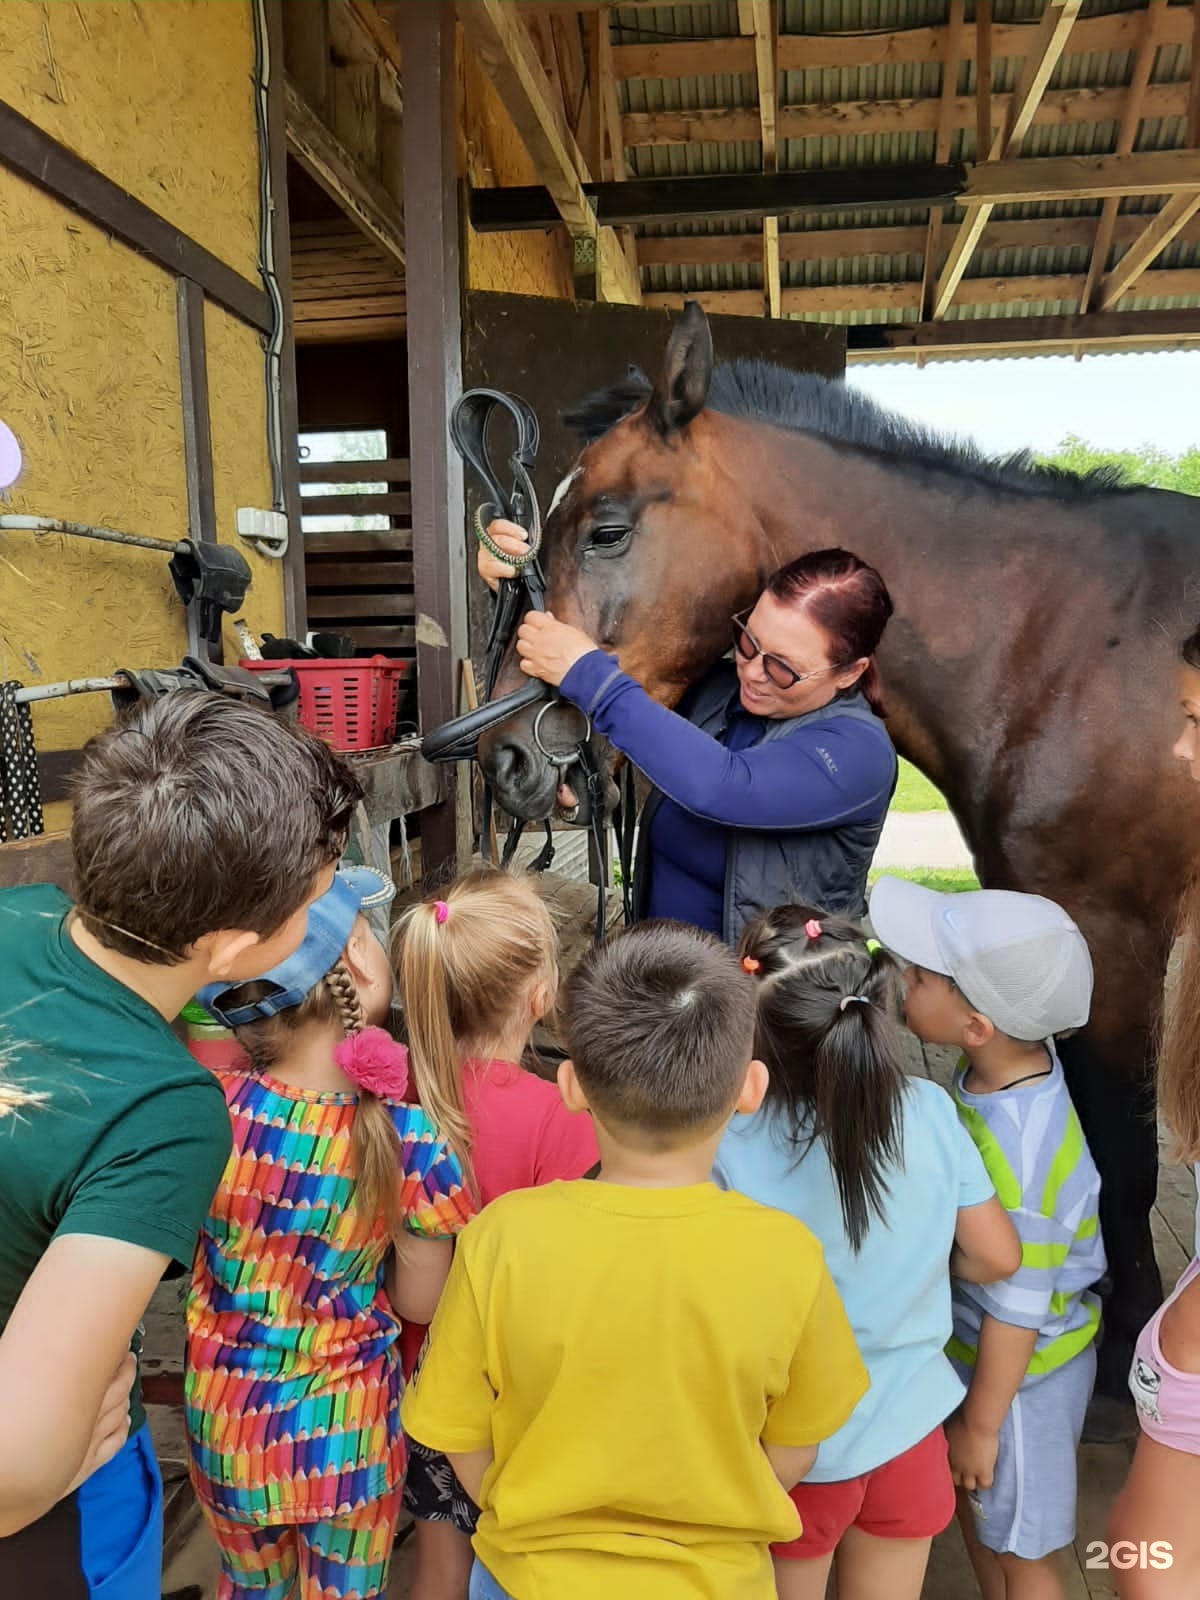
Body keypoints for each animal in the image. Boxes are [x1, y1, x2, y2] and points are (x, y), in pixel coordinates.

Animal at [480, 302, 1200, 1401]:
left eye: (607, 529)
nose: (511, 758)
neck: (1070, 645)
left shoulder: (1114, 931)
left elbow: (1120, 1142)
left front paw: (1122, 1347)